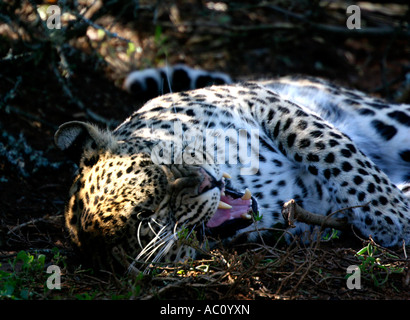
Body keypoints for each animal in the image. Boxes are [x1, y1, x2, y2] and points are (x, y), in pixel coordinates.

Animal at [54, 66, 410, 272]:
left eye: (161, 163)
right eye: (148, 218)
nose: (204, 184)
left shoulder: (264, 102)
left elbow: (332, 151)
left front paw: (393, 215)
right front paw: (398, 214)